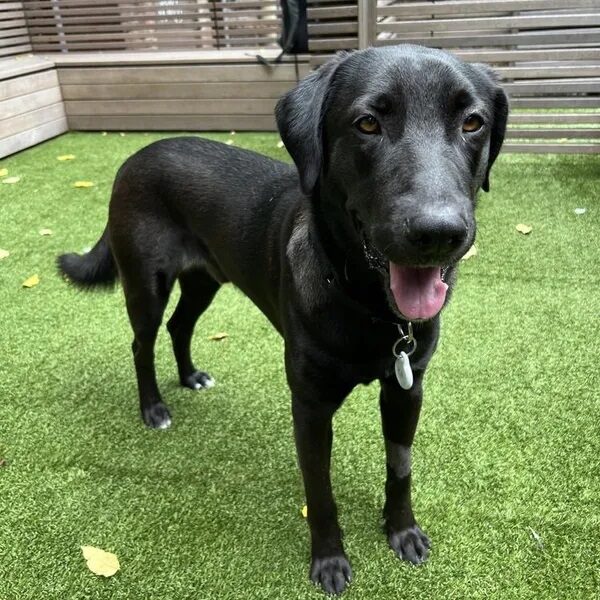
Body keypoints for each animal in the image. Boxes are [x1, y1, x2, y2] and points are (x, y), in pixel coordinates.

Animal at [58, 47, 506, 596]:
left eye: (472, 122)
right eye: (367, 122)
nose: (438, 232)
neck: (369, 307)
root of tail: (137, 155)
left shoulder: (407, 389)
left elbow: (400, 467)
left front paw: (402, 532)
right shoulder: (309, 408)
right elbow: (320, 491)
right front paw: (330, 562)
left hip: (205, 280)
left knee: (180, 326)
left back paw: (191, 377)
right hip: (146, 283)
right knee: (142, 344)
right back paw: (154, 408)